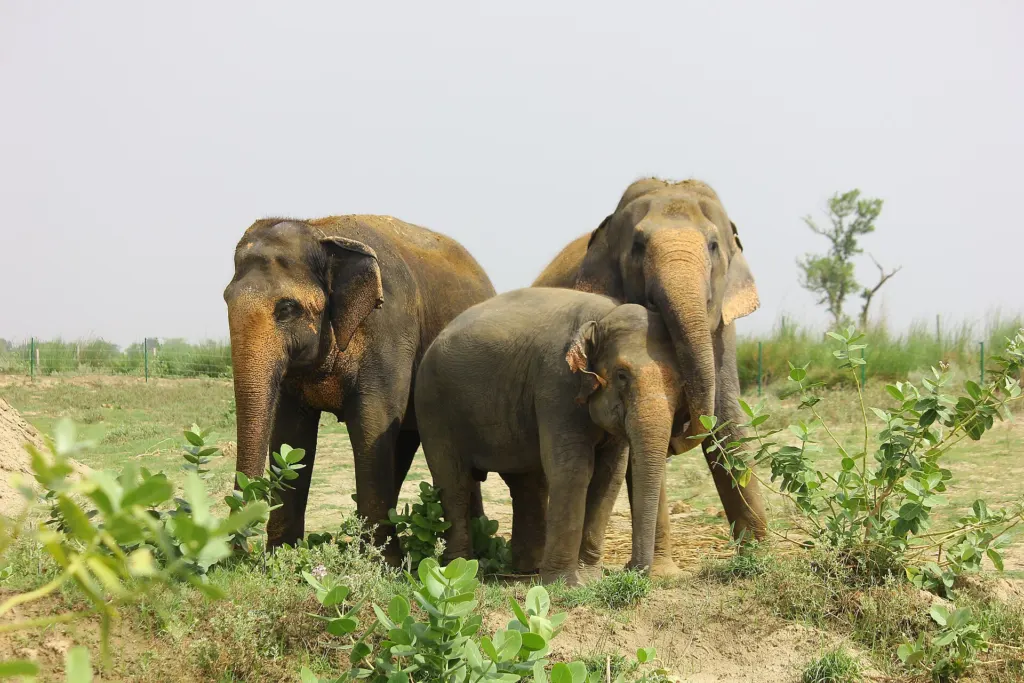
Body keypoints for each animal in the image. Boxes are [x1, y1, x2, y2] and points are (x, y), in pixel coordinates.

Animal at [223, 215, 495, 561]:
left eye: (286, 308)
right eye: (226, 300)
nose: (236, 553)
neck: (322, 233)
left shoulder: (389, 330)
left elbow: (372, 422)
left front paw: (383, 564)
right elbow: (290, 433)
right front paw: (281, 557)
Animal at [414, 287, 688, 585]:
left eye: (680, 382)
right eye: (622, 375)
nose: (635, 571)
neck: (603, 316)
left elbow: (609, 476)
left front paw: (589, 578)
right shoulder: (557, 384)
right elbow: (572, 470)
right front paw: (565, 584)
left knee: (527, 484)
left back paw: (527, 569)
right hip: (433, 408)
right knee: (453, 483)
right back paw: (457, 570)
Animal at [533, 177, 767, 574]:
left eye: (713, 245)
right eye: (638, 246)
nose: (680, 433)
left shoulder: (722, 329)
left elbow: (727, 419)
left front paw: (763, 557)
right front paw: (660, 574)